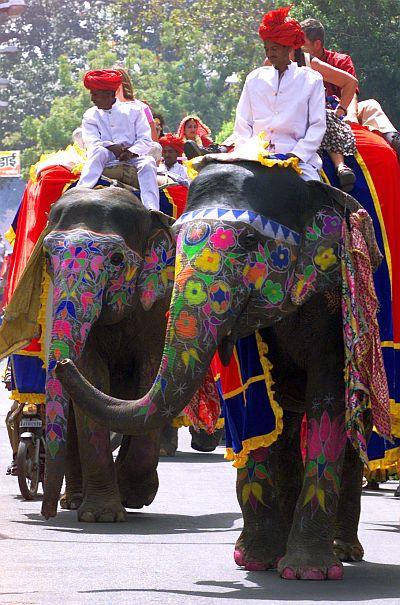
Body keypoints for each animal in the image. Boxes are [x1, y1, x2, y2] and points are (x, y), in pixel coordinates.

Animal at [38, 188, 177, 520]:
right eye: (47, 257)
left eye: (116, 259)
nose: (46, 514)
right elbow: (91, 375)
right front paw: (101, 516)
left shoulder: (159, 307)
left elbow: (151, 375)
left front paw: (135, 495)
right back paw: (74, 500)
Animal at [55, 162, 382, 580]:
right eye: (176, 241)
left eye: (249, 242)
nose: (62, 363)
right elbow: (252, 410)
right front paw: (255, 561)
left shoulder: (332, 303)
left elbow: (328, 402)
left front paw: (307, 572)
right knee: (287, 426)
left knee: (352, 429)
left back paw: (342, 551)